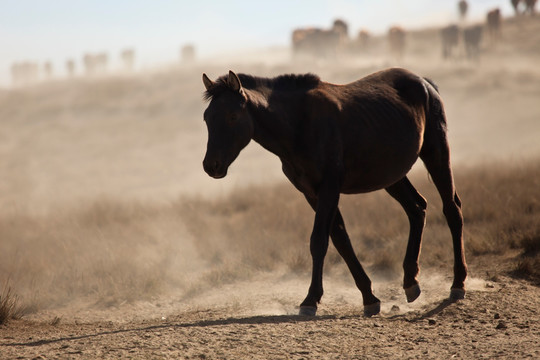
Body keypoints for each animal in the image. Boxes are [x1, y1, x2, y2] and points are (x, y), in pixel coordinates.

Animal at [200, 69, 466, 316]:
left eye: (232, 116)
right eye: (206, 118)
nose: (211, 166)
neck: (299, 124)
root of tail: (425, 83)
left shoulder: (329, 188)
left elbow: (319, 240)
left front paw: (310, 301)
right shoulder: (312, 193)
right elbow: (340, 239)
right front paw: (369, 298)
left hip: (436, 154)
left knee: (451, 210)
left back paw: (457, 284)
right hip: (392, 176)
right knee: (417, 209)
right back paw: (411, 282)